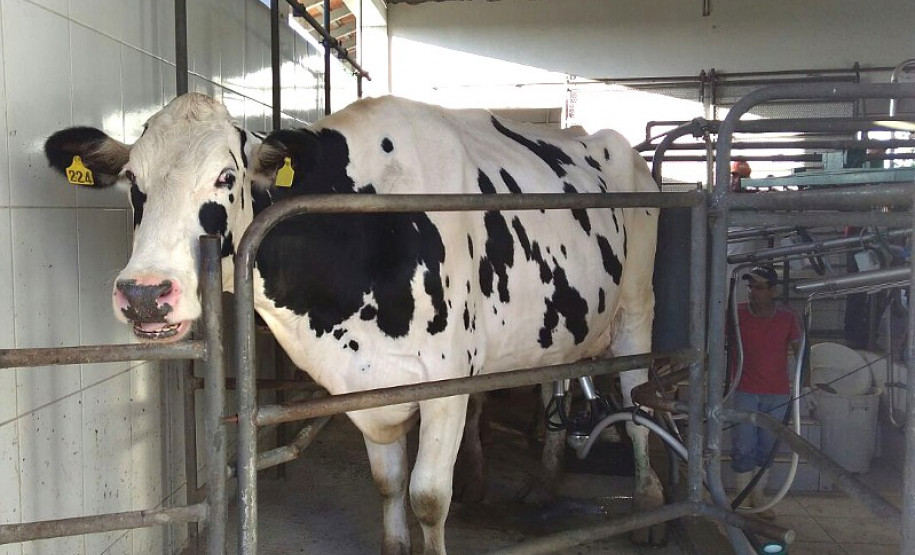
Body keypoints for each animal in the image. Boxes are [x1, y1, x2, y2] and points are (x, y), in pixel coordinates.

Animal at [44, 93, 662, 554]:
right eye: (132, 179)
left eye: (224, 176)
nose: (145, 294)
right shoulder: (368, 386)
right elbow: (389, 487)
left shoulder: (448, 382)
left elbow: (428, 498)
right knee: (559, 377)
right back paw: (545, 481)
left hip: (636, 303)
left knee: (638, 393)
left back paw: (650, 503)